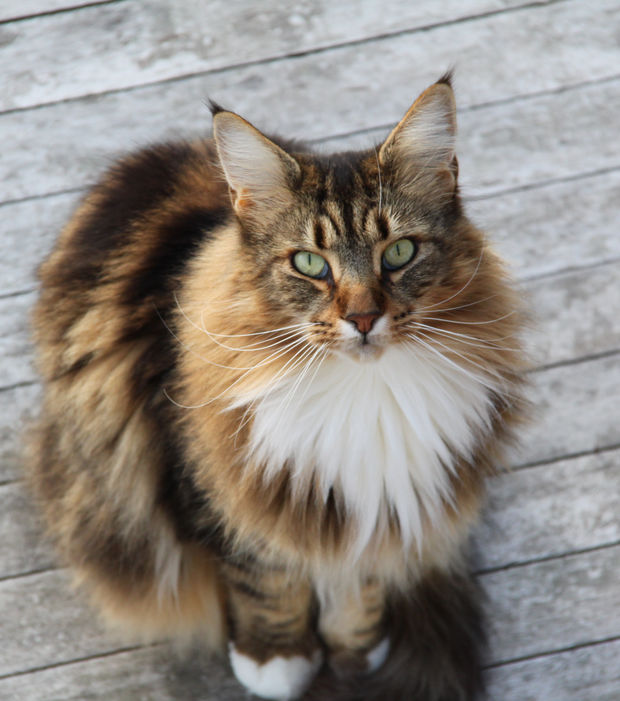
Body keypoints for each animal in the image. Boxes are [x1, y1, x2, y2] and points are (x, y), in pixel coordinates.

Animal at [26, 74, 524, 696]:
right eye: (310, 264)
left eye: (400, 253)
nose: (363, 318)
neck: (365, 392)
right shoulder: (214, 485)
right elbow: (265, 577)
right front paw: (276, 661)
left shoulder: (382, 502)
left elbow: (359, 581)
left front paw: (356, 650)